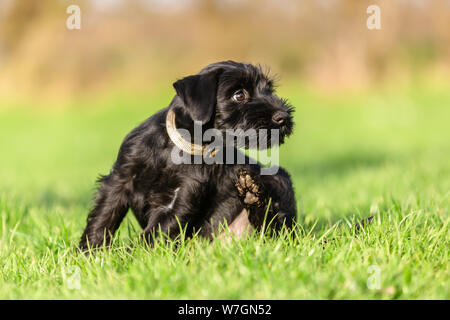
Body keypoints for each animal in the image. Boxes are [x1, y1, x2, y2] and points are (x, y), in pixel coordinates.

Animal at [79, 60, 298, 250]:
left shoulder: (183, 195)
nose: (283, 117)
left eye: (269, 90)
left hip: (279, 179)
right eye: (239, 95)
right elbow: (104, 217)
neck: (177, 149)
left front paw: (130, 256)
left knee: (275, 229)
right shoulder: (120, 180)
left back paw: (252, 193)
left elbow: (156, 231)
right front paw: (89, 253)